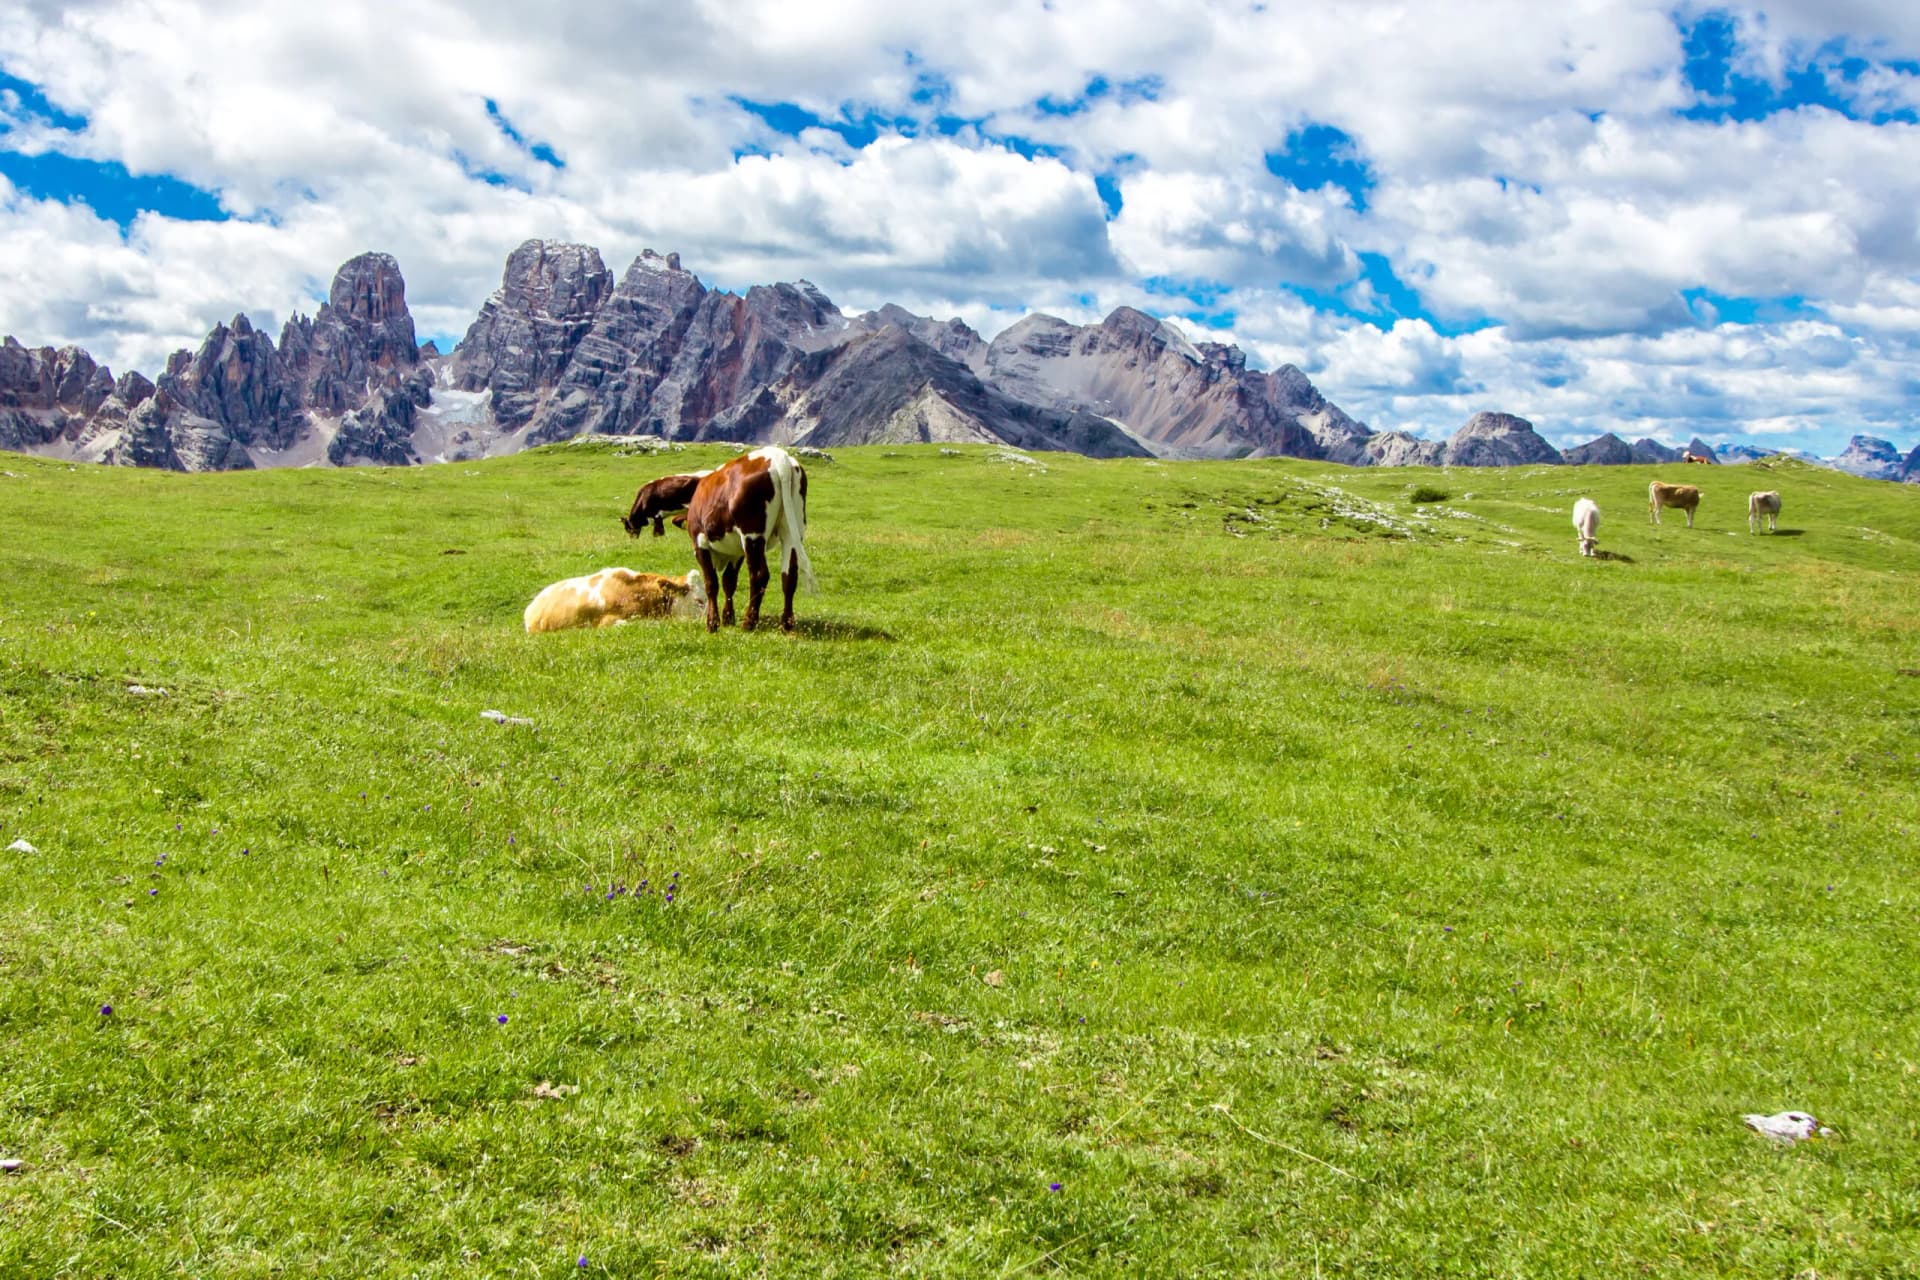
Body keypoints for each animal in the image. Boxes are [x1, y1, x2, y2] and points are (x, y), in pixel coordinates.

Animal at [681, 446, 815, 632]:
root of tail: (777, 456)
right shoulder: (737, 552)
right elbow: (729, 581)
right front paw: (728, 618)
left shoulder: (700, 544)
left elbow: (711, 583)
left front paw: (713, 623)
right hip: (791, 532)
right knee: (788, 575)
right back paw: (786, 624)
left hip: (752, 535)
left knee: (759, 575)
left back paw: (749, 622)